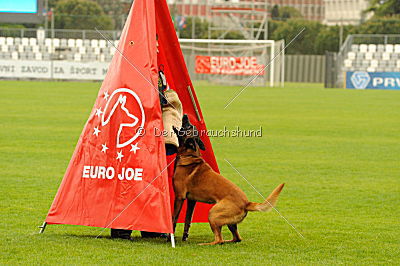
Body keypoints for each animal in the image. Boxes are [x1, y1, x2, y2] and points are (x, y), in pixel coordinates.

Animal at [172, 115, 284, 246]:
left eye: (189, 126)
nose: (185, 116)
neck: (190, 155)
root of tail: (247, 203)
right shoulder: (191, 201)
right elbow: (187, 220)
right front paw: (184, 236)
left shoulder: (179, 197)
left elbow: (174, 218)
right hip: (229, 222)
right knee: (236, 238)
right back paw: (227, 240)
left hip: (213, 214)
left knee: (218, 240)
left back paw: (205, 244)